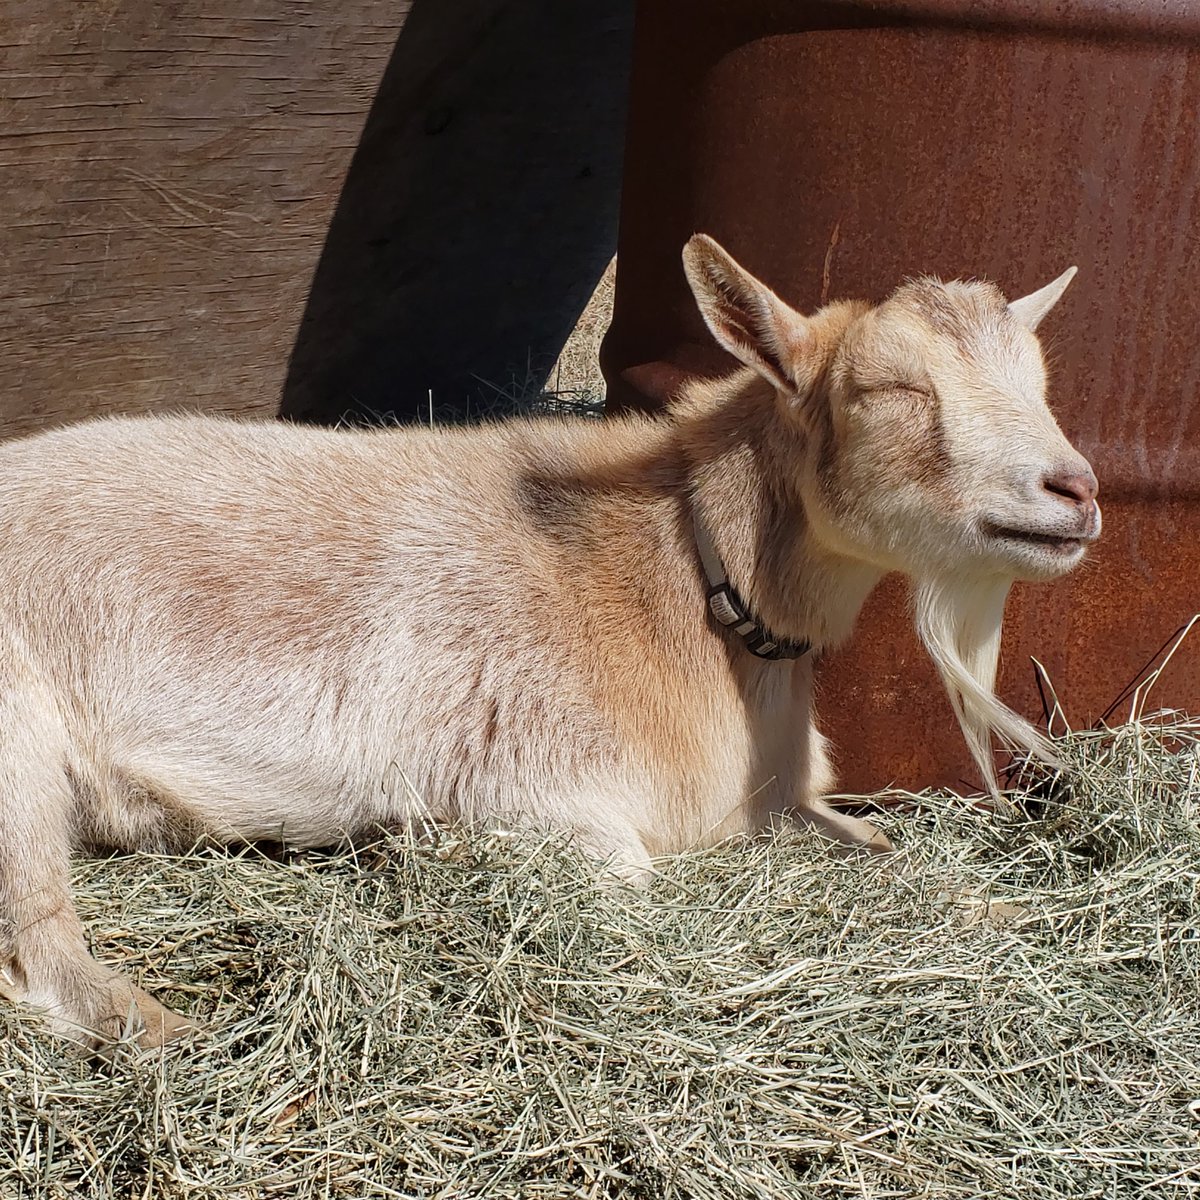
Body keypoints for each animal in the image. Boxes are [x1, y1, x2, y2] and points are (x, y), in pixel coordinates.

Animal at [0, 235, 1099, 1047]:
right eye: (891, 391)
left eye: (1042, 379)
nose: (1077, 491)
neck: (676, 574)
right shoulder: (542, 797)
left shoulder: (787, 799)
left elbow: (887, 851)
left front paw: (1007, 912)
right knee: (36, 942)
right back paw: (156, 1029)